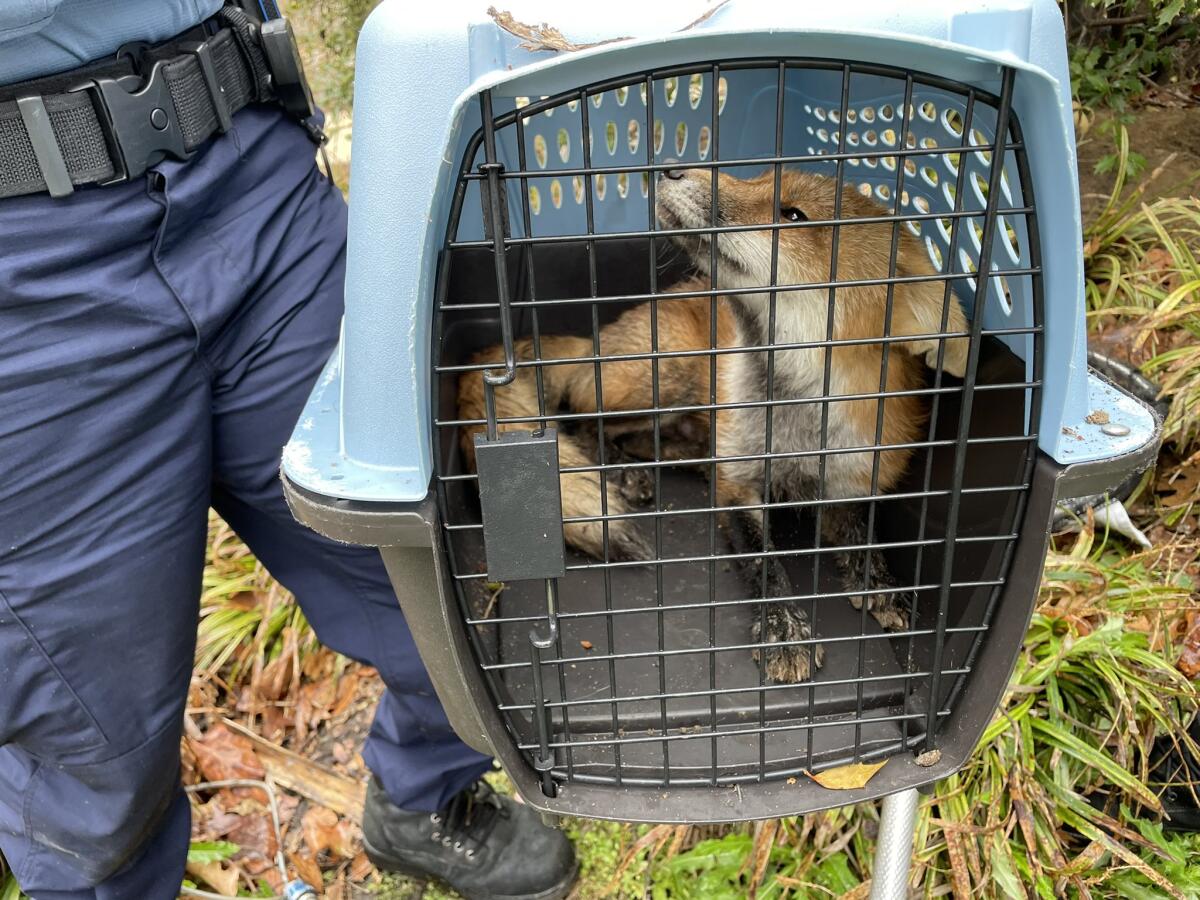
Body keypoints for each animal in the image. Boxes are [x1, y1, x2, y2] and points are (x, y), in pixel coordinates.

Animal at [453, 168, 969, 681]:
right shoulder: (738, 486)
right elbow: (765, 561)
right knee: (581, 419)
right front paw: (784, 627)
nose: (672, 168)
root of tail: (595, 340)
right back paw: (624, 472)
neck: (795, 426)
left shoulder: (852, 477)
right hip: (666, 375)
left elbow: (865, 534)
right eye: (759, 176)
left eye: (793, 215)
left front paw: (880, 582)